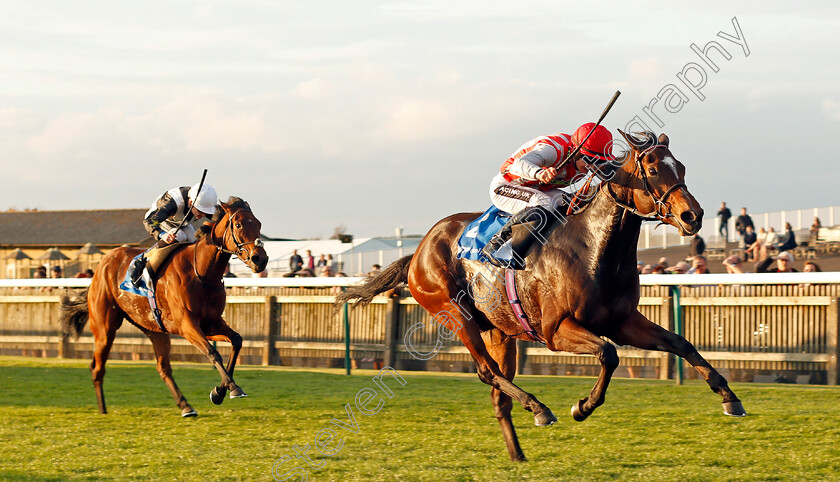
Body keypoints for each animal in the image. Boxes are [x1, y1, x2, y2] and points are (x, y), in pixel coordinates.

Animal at [59, 198, 268, 416]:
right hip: (104, 328)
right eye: (239, 225)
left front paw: (219, 391)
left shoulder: (210, 324)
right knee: (97, 367)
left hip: (155, 330)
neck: (201, 272)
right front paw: (231, 388)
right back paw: (103, 410)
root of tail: (102, 264)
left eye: (259, 224)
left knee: (163, 368)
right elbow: (212, 352)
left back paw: (186, 406)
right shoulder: (187, 326)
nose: (260, 259)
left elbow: (236, 341)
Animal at [338, 130, 744, 462]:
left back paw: (518, 455)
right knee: (487, 372)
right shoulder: (556, 330)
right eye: (653, 168)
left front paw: (730, 398)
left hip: (501, 332)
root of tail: (417, 251)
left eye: (682, 167)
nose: (693, 215)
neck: (595, 249)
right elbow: (608, 354)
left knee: (498, 394)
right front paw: (582, 407)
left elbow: (680, 342)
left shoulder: (623, 321)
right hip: (454, 314)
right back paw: (539, 409)